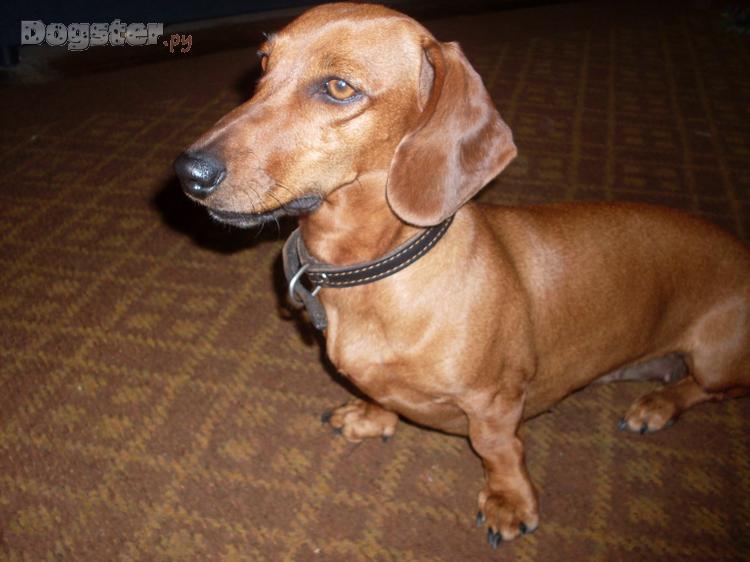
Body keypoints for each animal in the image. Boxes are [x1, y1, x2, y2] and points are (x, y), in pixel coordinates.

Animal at [174, 2, 750, 547]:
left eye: (338, 87)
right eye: (263, 64)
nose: (188, 173)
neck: (372, 274)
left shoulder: (494, 403)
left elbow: (499, 450)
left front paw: (510, 502)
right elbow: (380, 395)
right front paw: (371, 416)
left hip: (715, 355)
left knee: (710, 390)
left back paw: (658, 404)